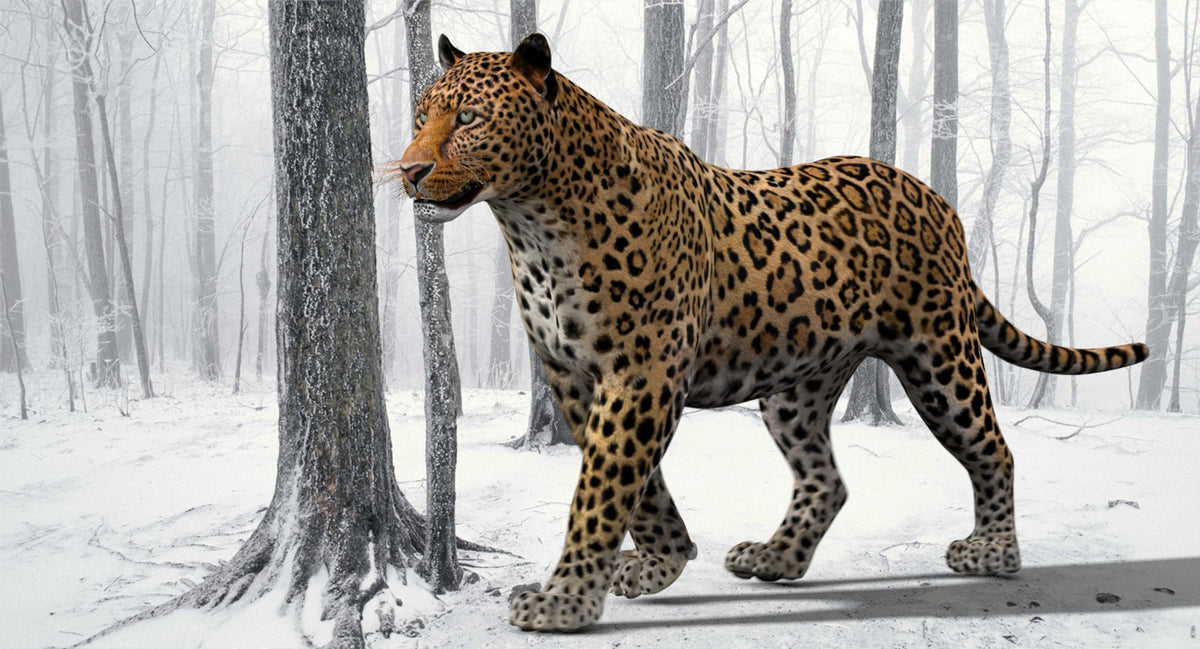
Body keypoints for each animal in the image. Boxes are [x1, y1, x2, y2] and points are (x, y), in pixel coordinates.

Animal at [386, 33, 1149, 632]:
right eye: (420, 117)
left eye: (469, 117)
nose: (410, 169)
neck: (531, 224)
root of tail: (941, 202)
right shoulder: (574, 376)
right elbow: (639, 488)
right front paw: (661, 562)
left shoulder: (641, 376)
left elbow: (600, 492)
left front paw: (564, 601)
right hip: (798, 385)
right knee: (827, 480)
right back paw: (776, 557)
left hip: (940, 360)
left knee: (994, 449)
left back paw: (993, 552)